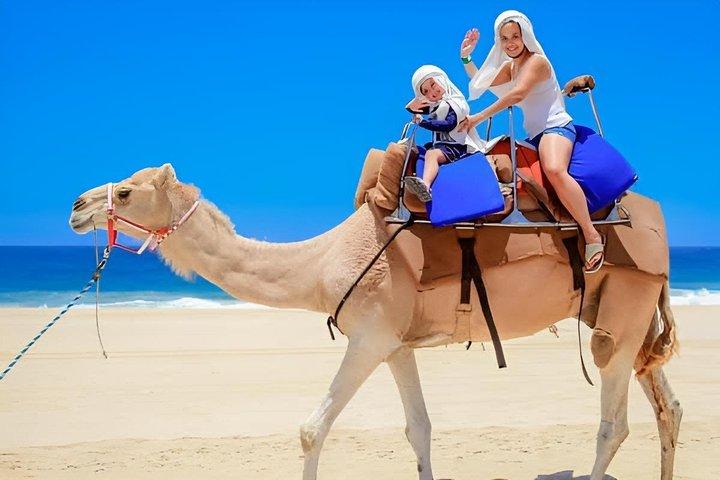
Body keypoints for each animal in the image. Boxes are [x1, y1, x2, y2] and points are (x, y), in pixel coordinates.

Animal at [68, 160, 680, 480]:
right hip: (630, 312)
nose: (77, 207)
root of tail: (655, 226)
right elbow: (420, 429)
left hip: (621, 307)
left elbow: (311, 429)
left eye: (127, 190)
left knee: (613, 419)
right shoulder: (396, 344)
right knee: (666, 407)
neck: (320, 263)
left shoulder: (368, 335)